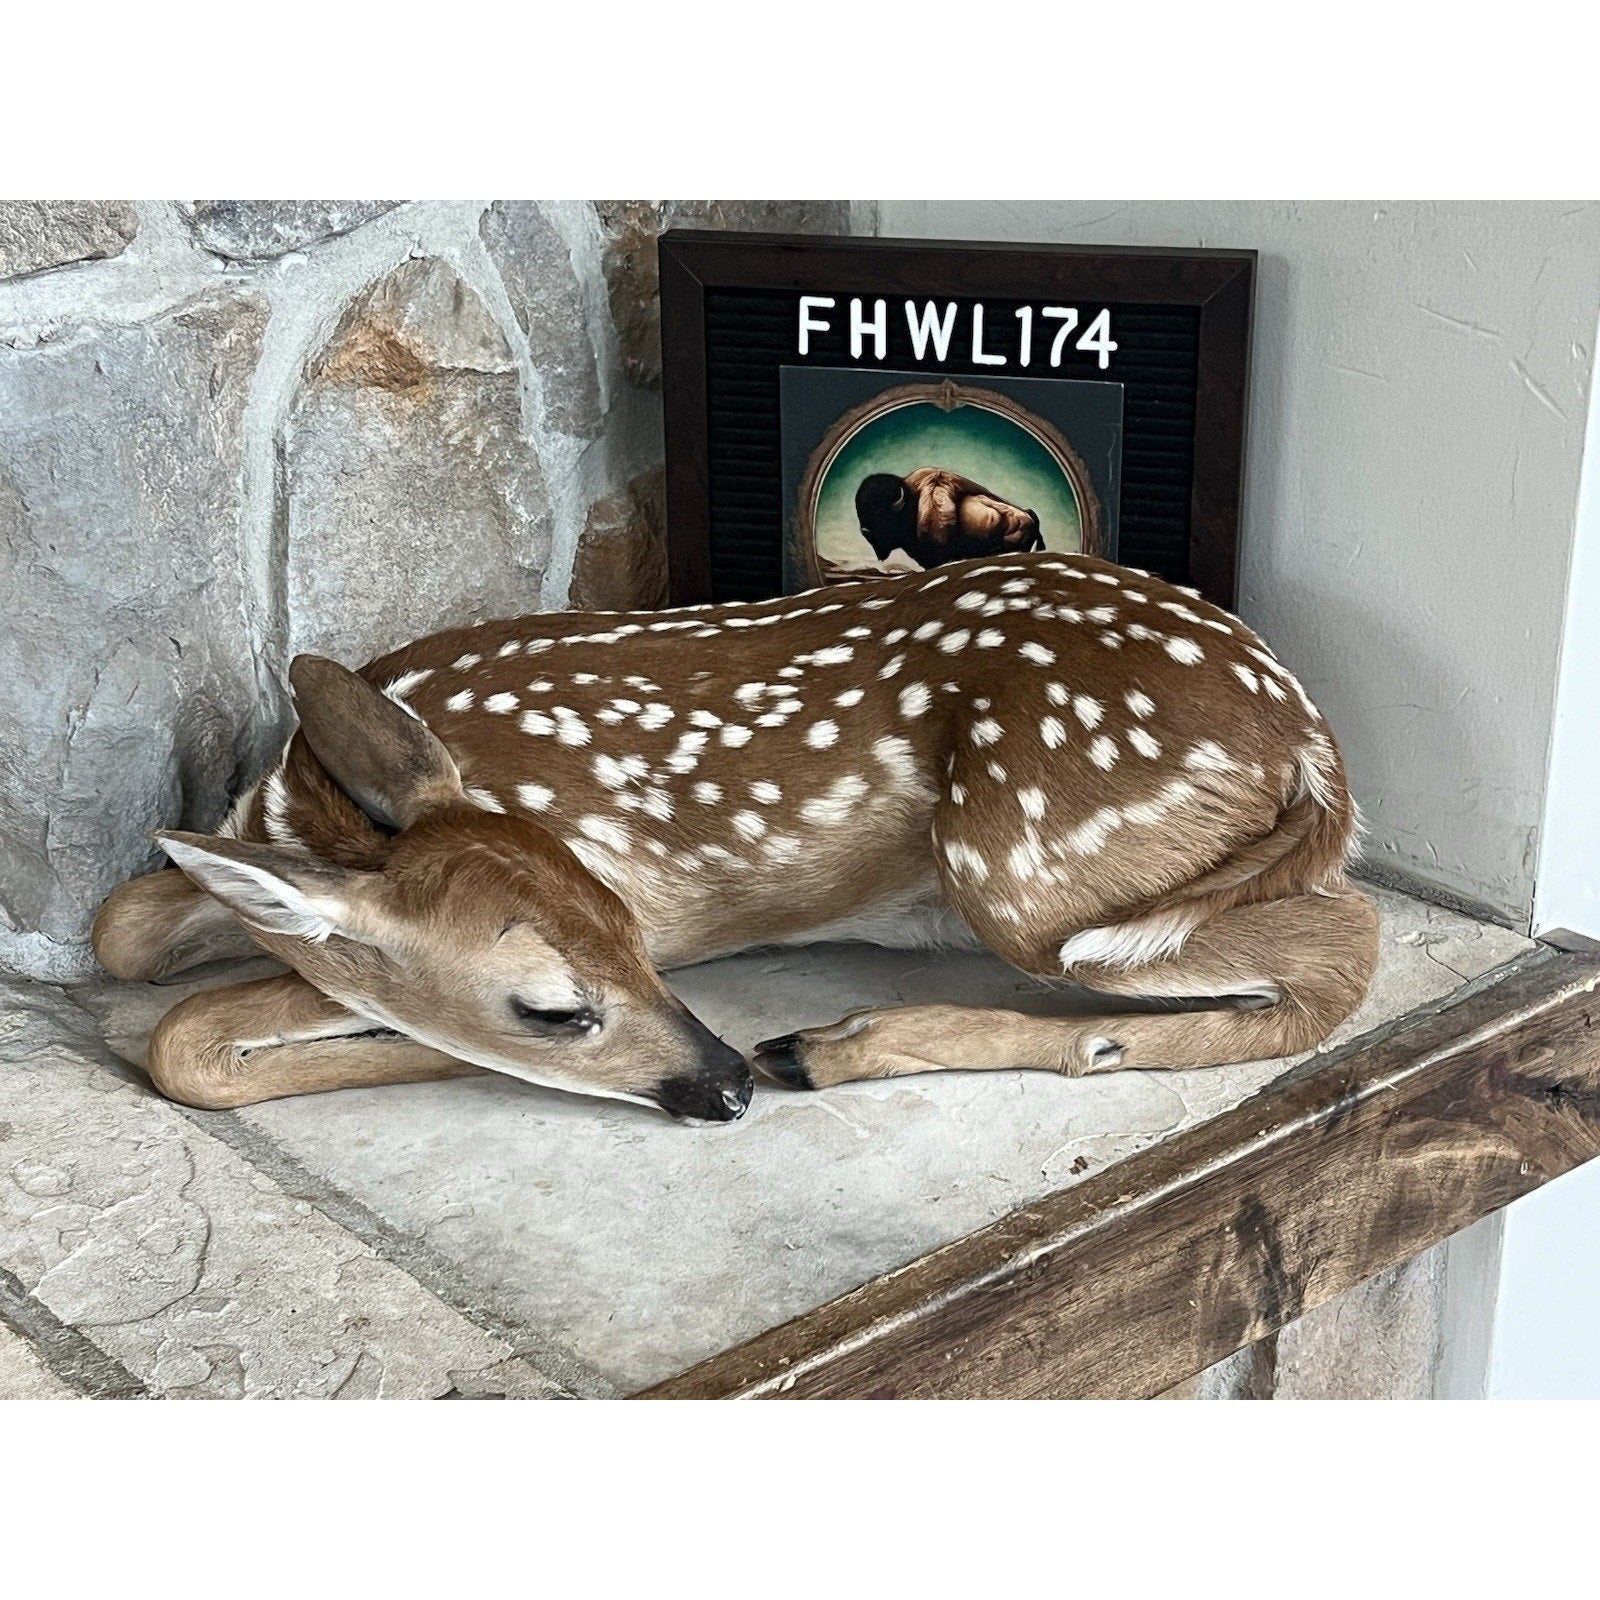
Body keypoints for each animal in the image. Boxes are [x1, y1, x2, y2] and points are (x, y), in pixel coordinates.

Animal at [91, 550, 1378, 1126]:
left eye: (630, 923)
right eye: (552, 1004)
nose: (721, 1084)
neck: (304, 808)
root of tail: (1305, 737)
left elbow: (187, 1038)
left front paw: (408, 1048)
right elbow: (122, 924)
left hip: (1031, 871)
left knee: (1344, 949)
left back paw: (830, 1046)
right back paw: (822, 1044)